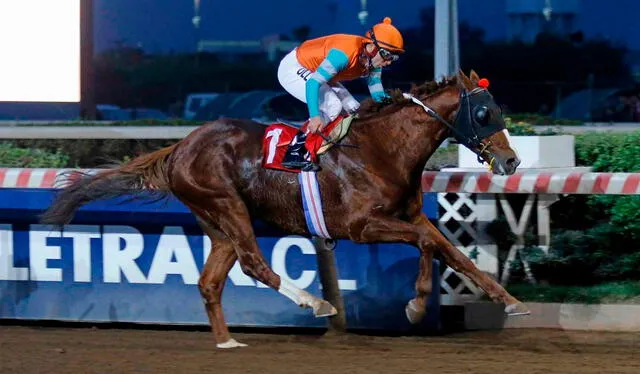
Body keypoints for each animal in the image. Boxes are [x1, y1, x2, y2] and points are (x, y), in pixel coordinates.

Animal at [41, 70, 528, 348]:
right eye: (483, 113)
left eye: (499, 109)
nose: (511, 162)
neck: (381, 149)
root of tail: (180, 146)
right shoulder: (362, 225)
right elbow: (427, 245)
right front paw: (415, 305)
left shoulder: (409, 214)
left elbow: (454, 252)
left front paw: (510, 300)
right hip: (227, 204)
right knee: (253, 263)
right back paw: (316, 303)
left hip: (216, 221)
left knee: (211, 280)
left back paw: (227, 342)